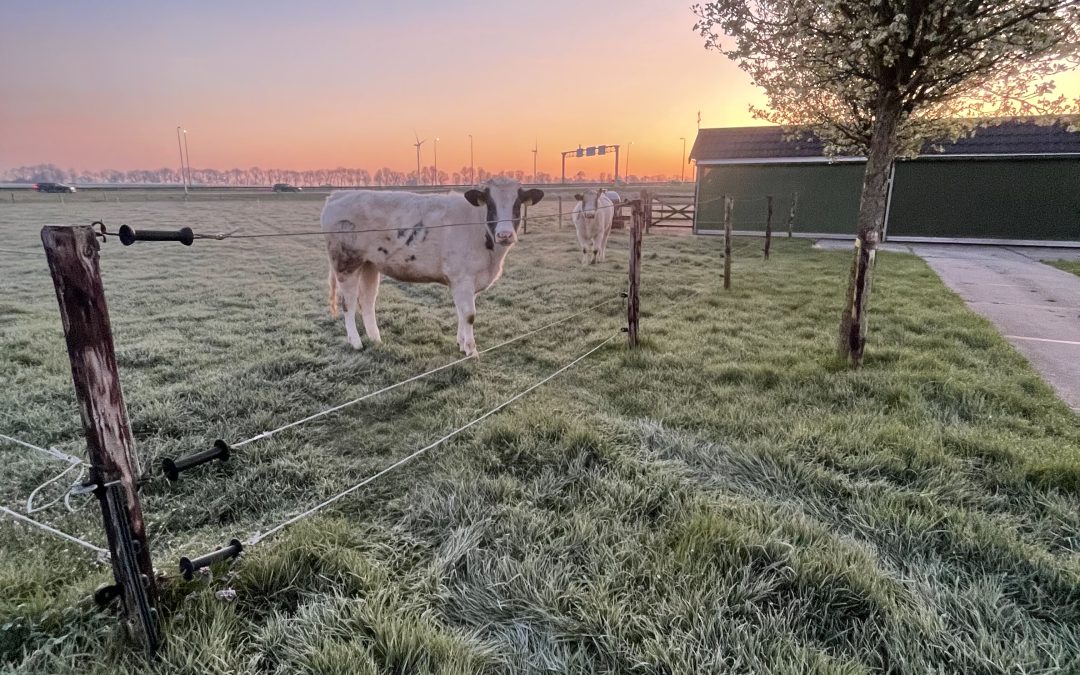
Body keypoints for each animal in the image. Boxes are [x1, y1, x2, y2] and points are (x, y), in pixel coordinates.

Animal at [317, 176, 540, 356]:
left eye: (517, 205)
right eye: (491, 205)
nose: (505, 234)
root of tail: (339, 194)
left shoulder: (466, 281)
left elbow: (461, 313)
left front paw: (461, 344)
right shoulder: (462, 278)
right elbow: (469, 315)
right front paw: (471, 351)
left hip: (369, 264)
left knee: (367, 301)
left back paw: (375, 339)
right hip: (346, 263)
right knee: (348, 303)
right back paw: (356, 343)